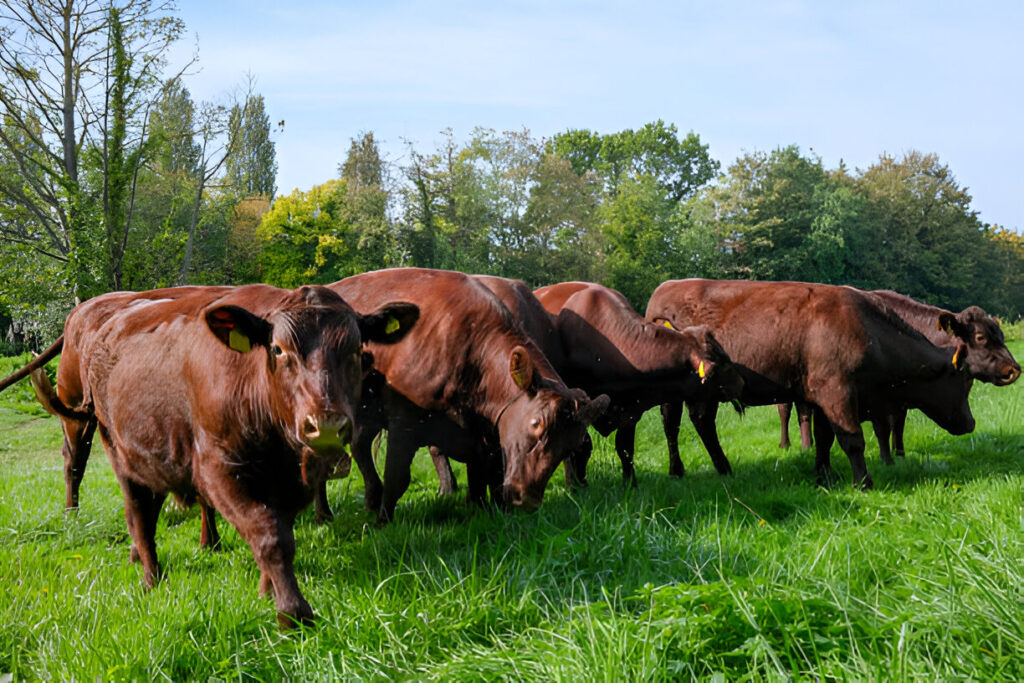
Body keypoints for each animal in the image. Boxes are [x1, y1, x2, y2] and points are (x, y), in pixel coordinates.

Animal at [7, 284, 415, 630]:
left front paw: (267, 590)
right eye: (278, 349)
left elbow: (279, 529)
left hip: (156, 455)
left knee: (150, 507)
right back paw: (150, 577)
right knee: (134, 511)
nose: (326, 425)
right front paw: (292, 612)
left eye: (357, 351)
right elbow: (271, 536)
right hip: (117, 451)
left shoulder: (292, 481)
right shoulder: (218, 470)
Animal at [325, 266, 606, 524]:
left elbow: (484, 475)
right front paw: (383, 523)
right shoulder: (403, 423)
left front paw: (484, 512)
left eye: (572, 445)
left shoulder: (484, 433)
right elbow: (397, 477)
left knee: (359, 445)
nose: (526, 499)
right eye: (536, 424)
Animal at [528, 280, 745, 483]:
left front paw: (630, 484)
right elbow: (580, 447)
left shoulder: (630, 410)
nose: (741, 383)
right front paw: (576, 485)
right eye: (722, 363)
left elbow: (625, 448)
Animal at [647, 280, 974, 489]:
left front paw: (825, 476)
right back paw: (683, 470)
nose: (971, 423)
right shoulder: (837, 391)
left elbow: (825, 437)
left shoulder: (821, 397)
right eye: (964, 381)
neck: (870, 332)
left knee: (699, 422)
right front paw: (863, 482)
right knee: (675, 424)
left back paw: (717, 469)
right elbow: (852, 439)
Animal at [774, 290, 1015, 462]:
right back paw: (788, 444)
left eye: (1002, 336)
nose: (1014, 369)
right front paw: (886, 457)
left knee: (804, 412)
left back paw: (808, 445)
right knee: (786, 411)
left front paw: (899, 453)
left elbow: (898, 425)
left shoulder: (900, 400)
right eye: (981, 337)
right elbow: (884, 427)